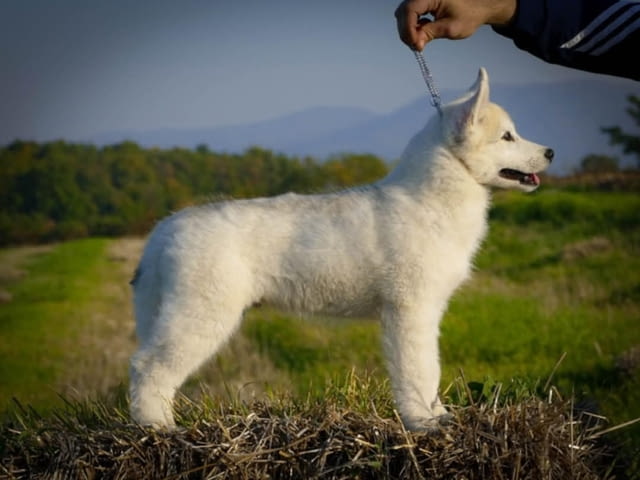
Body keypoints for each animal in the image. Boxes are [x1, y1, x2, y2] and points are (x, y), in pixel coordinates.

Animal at [127, 66, 552, 428]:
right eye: (507, 137)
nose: (550, 152)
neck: (429, 199)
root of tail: (162, 232)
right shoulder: (410, 310)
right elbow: (419, 369)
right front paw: (423, 422)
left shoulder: (426, 311)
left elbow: (430, 369)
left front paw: (438, 415)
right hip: (201, 314)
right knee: (147, 366)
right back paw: (158, 427)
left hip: (165, 313)